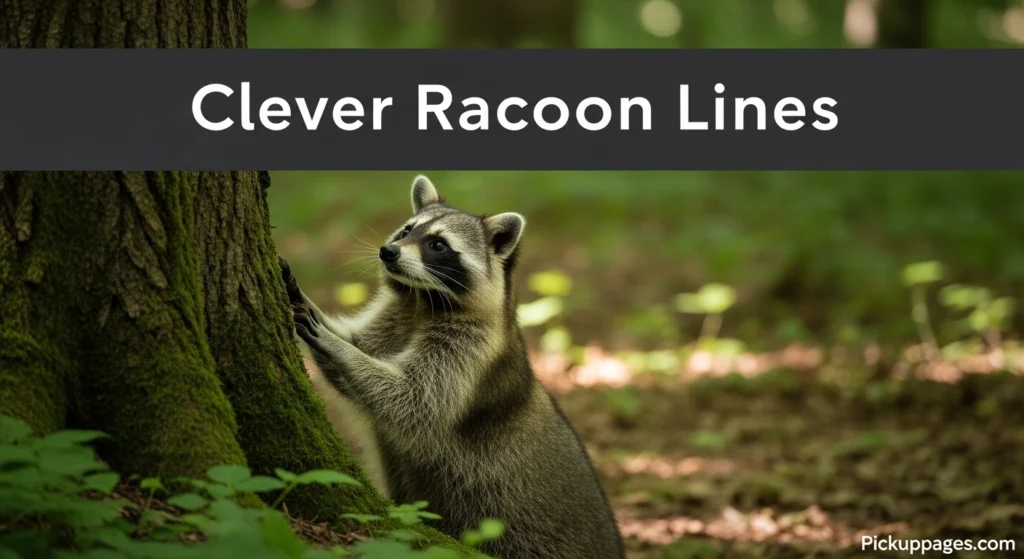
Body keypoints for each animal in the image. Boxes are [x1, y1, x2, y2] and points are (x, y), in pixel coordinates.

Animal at [280, 175, 624, 559]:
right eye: (406, 231)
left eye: (438, 245)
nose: (388, 251)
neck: (420, 301)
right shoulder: (393, 319)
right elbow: (364, 352)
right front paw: (311, 308)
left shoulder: (471, 350)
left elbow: (415, 401)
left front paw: (334, 343)